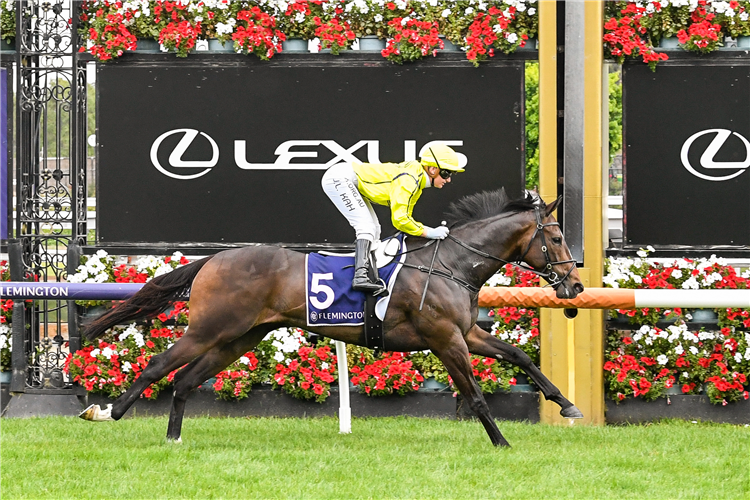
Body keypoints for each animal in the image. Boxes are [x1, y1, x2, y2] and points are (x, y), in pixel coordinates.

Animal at [81, 189, 588, 448]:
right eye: (556, 237)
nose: (576, 287)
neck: (451, 265)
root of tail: (213, 260)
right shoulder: (446, 339)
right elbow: (477, 396)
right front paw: (501, 442)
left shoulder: (465, 332)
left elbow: (520, 356)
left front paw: (567, 404)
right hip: (211, 329)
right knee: (158, 366)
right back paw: (108, 411)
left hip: (240, 338)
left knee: (185, 380)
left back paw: (173, 437)